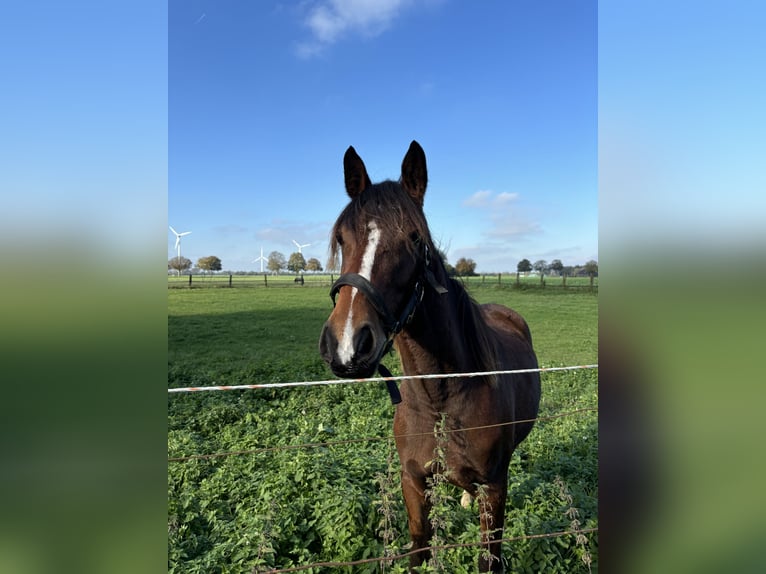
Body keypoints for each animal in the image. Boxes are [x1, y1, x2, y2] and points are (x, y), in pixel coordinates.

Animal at [319, 141, 541, 572]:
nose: (348, 343)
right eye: (341, 237)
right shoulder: (413, 481)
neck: (441, 400)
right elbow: (420, 545)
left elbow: (489, 556)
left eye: (414, 237)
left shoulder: (495, 485)